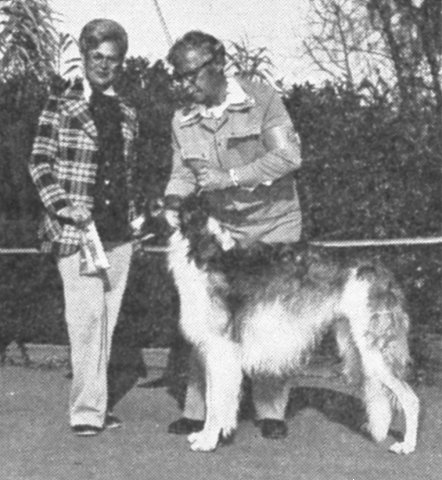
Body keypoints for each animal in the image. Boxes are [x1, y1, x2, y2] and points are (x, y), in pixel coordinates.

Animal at [161, 194, 418, 454]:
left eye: (168, 204)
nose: (157, 204)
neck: (206, 251)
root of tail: (383, 273)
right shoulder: (215, 349)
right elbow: (212, 398)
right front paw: (204, 435)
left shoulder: (221, 348)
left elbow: (215, 403)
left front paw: (208, 441)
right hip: (355, 344)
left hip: (374, 348)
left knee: (411, 398)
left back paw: (407, 445)